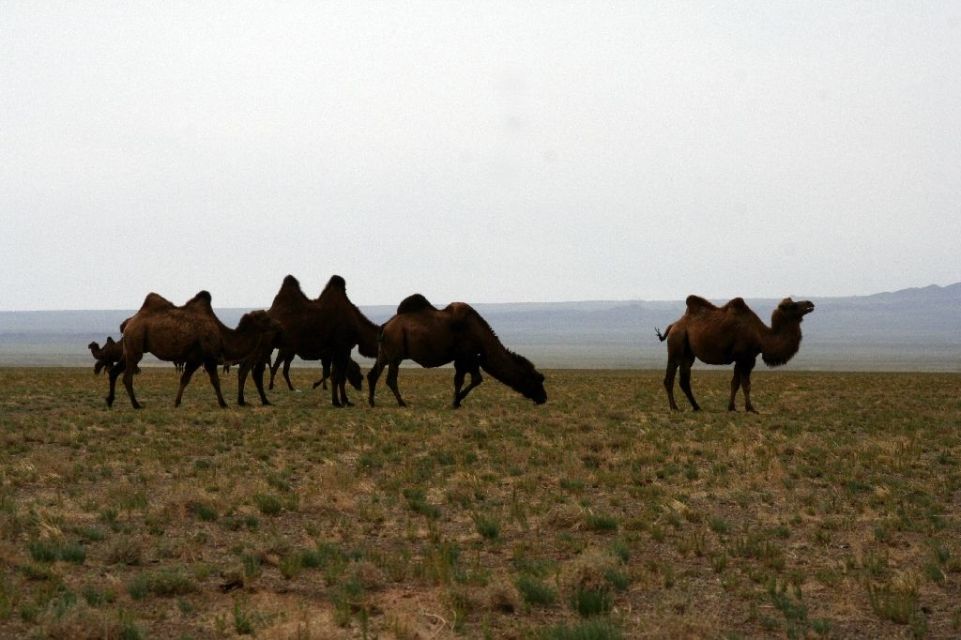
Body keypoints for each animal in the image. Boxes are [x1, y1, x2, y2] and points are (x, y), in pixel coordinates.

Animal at [105, 291, 280, 409]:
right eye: (266, 318)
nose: (278, 325)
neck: (221, 335)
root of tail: (127, 324)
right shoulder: (205, 357)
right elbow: (214, 381)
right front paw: (223, 403)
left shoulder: (195, 358)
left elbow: (185, 379)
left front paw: (177, 402)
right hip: (135, 343)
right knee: (126, 376)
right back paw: (136, 404)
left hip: (129, 348)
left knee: (114, 371)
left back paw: (110, 401)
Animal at [265, 275, 379, 407]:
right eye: (360, 376)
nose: (360, 387)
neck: (356, 326)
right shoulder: (341, 347)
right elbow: (337, 376)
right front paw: (337, 402)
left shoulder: (335, 352)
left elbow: (337, 375)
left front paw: (345, 401)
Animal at [367, 294, 547, 408]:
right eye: (536, 380)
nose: (544, 398)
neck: (481, 336)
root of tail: (385, 326)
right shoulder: (467, 355)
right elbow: (476, 379)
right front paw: (456, 401)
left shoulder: (462, 359)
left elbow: (459, 380)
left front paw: (456, 401)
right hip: (395, 353)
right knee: (391, 379)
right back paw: (402, 403)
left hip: (384, 353)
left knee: (373, 374)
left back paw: (372, 402)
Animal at [656, 296, 815, 412]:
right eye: (793, 306)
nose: (810, 303)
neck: (761, 336)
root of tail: (673, 325)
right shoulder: (746, 357)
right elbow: (746, 384)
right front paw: (751, 408)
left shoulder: (742, 359)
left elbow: (735, 383)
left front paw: (732, 407)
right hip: (677, 343)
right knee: (669, 377)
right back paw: (674, 407)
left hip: (688, 354)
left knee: (684, 379)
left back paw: (696, 407)